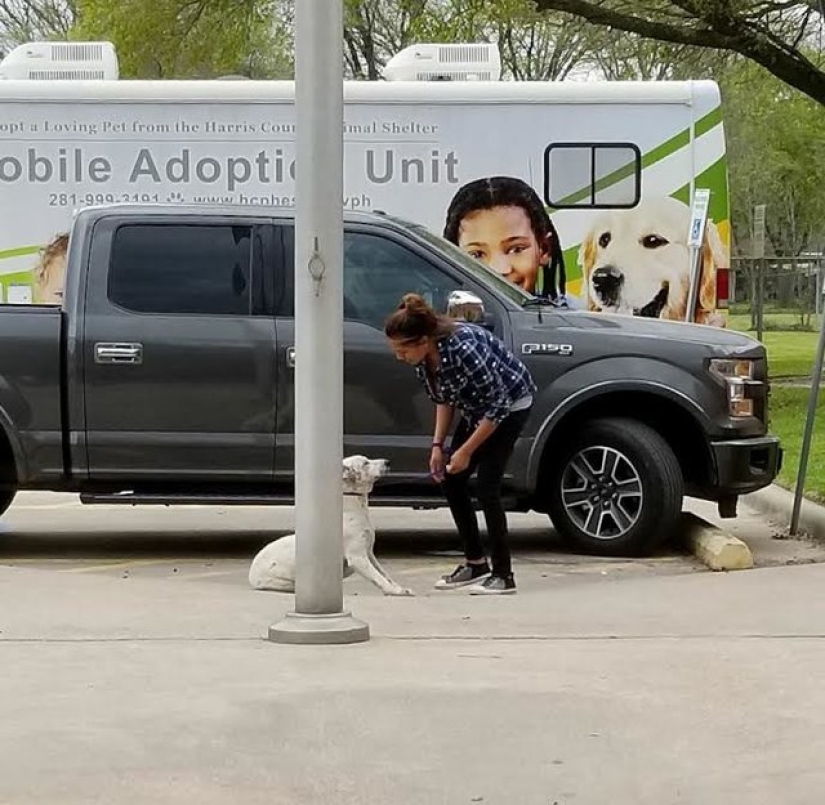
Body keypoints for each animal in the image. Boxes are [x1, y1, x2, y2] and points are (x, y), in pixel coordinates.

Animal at [245, 456, 412, 592]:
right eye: (365, 463)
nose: (388, 462)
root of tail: (251, 572)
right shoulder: (358, 557)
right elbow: (378, 577)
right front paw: (393, 590)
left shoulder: (369, 554)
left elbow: (384, 574)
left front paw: (399, 587)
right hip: (283, 581)